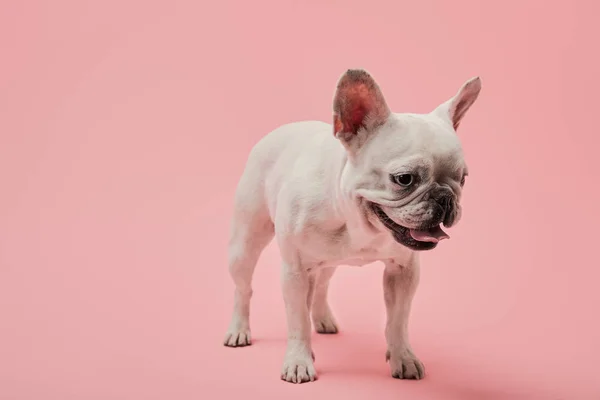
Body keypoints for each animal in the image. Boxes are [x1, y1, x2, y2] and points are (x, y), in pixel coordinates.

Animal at [223, 69, 480, 384]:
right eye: (404, 179)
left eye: (463, 179)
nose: (445, 197)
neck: (358, 221)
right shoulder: (294, 272)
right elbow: (297, 322)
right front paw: (298, 361)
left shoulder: (403, 271)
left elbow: (398, 320)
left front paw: (402, 356)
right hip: (245, 244)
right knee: (243, 288)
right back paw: (239, 329)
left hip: (326, 262)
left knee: (321, 284)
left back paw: (323, 318)